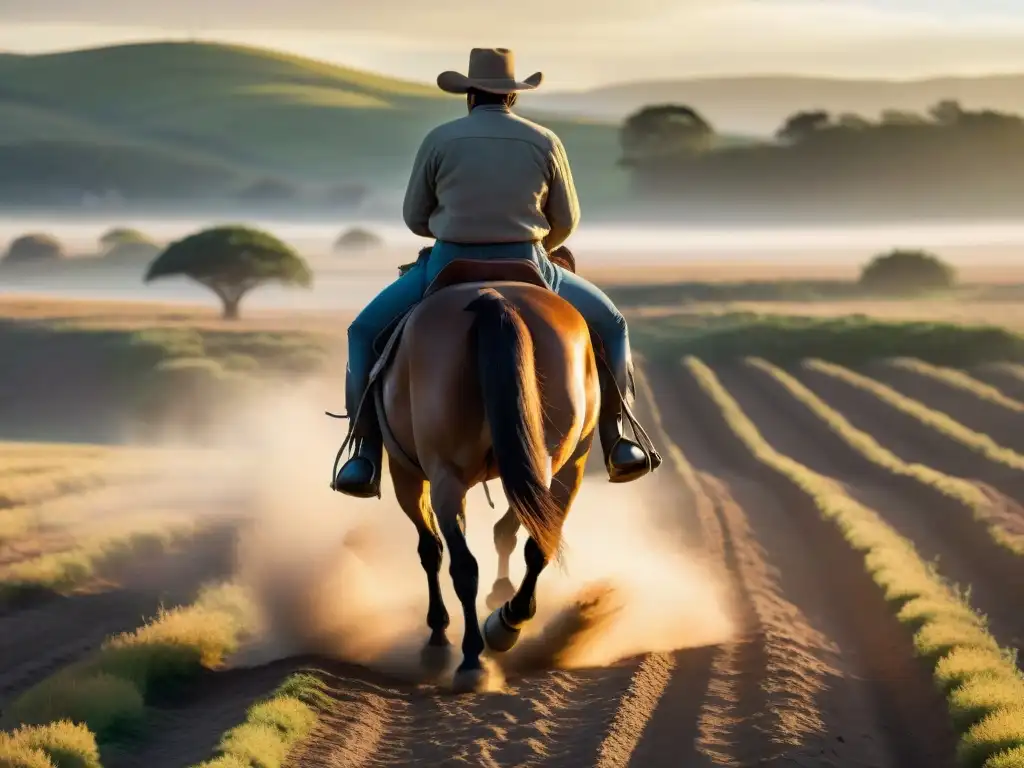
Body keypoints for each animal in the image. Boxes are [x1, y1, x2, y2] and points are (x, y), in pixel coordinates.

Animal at [368, 256, 598, 696]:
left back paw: (471, 656)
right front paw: (501, 602)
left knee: (461, 564)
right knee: (538, 545)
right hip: (559, 466)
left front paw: (439, 636)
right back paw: (506, 624)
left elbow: (432, 551)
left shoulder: (407, 472)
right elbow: (511, 532)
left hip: (444, 477)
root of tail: (493, 296)